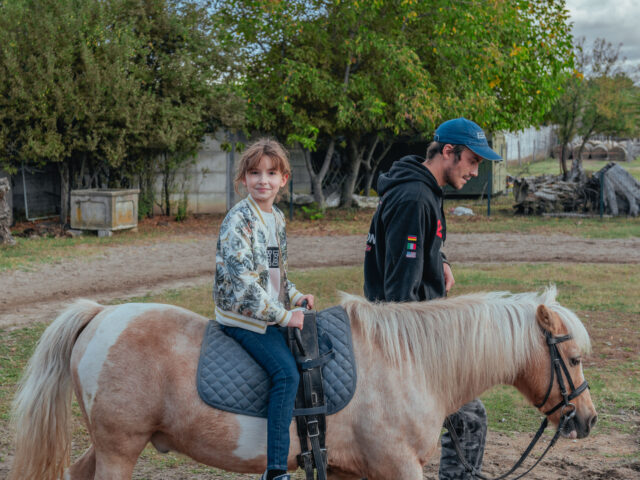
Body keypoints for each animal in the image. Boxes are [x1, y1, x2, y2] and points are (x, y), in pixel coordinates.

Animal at [8, 286, 596, 478]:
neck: (409, 364)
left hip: (110, 445)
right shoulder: (398, 467)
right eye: (572, 356)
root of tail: (100, 315)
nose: (586, 419)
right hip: (120, 450)